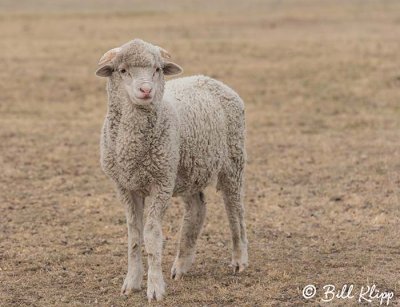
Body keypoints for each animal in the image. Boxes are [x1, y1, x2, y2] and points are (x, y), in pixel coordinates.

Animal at [95, 39, 248, 304]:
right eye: (122, 70)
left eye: (157, 69)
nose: (146, 90)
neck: (133, 146)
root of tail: (209, 79)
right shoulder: (125, 187)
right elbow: (134, 236)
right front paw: (131, 282)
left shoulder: (161, 184)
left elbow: (152, 235)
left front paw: (155, 287)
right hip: (188, 169)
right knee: (197, 210)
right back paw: (182, 264)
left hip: (232, 163)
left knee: (234, 211)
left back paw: (239, 259)